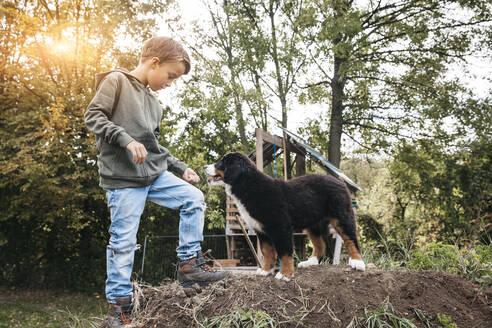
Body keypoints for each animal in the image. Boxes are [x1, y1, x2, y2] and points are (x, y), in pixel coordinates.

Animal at [204, 152, 366, 280]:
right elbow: (267, 252)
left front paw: (285, 274)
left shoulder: (280, 227)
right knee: (320, 244)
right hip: (313, 223)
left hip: (341, 216)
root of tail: (340, 181)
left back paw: (358, 262)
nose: (204, 167)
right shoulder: (261, 230)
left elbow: (284, 252)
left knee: (351, 239)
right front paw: (265, 270)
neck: (248, 185)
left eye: (222, 163)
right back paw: (310, 262)